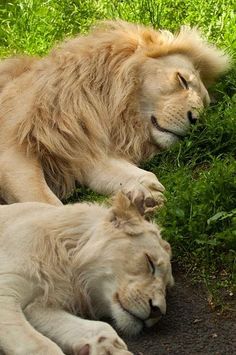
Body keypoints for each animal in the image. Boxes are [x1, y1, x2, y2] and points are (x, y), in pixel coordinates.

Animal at [0, 20, 230, 211]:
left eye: (205, 108)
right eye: (182, 80)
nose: (196, 122)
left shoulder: (81, 149)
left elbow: (140, 175)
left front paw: (144, 195)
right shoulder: (13, 149)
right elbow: (45, 201)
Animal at [0, 193, 173, 354]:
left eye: (167, 287)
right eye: (149, 262)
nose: (158, 311)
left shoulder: (38, 305)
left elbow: (100, 327)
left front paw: (109, 348)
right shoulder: (6, 293)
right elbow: (42, 346)